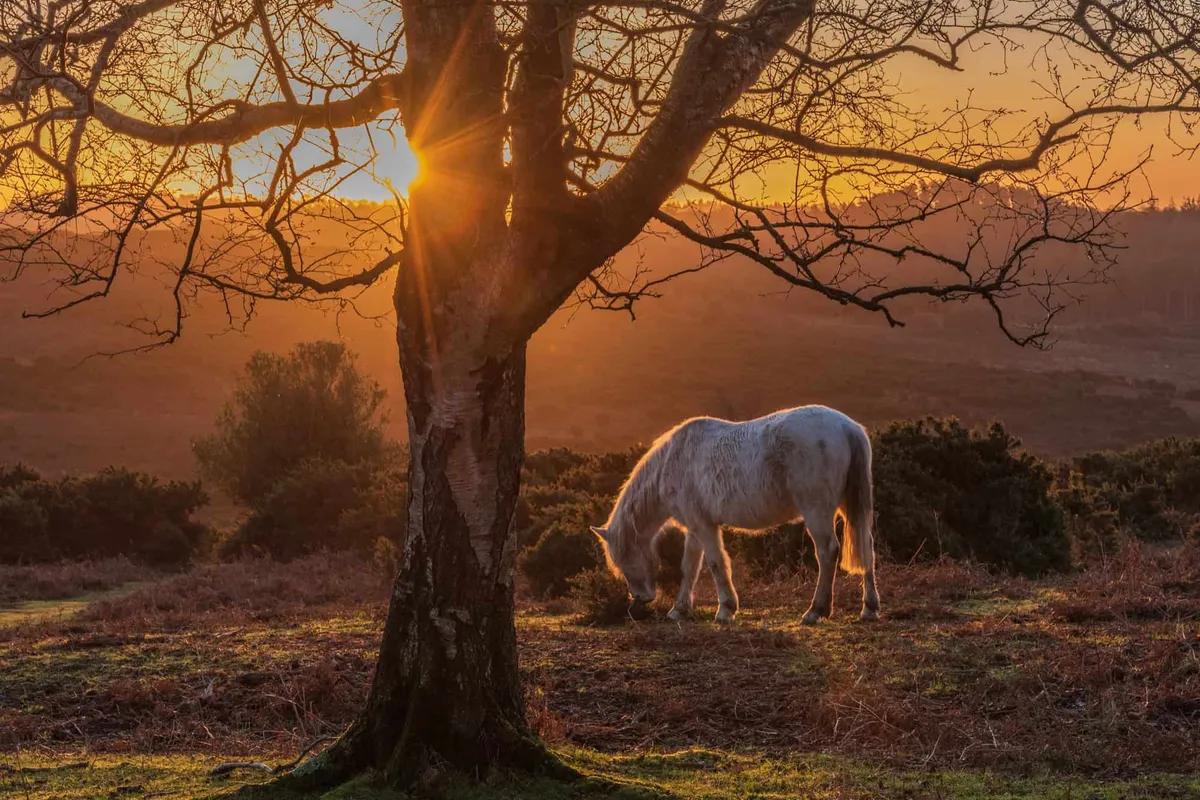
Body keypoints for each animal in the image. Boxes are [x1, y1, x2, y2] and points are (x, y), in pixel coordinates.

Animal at [590, 404, 879, 625]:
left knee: (827, 552)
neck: (675, 462)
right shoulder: (695, 527)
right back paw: (869, 608)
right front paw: (679, 610)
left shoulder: (705, 527)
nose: (640, 597)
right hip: (850, 506)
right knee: (867, 547)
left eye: (623, 556)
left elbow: (716, 564)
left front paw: (726, 610)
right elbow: (689, 567)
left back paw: (815, 611)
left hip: (816, 511)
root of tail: (847, 427)